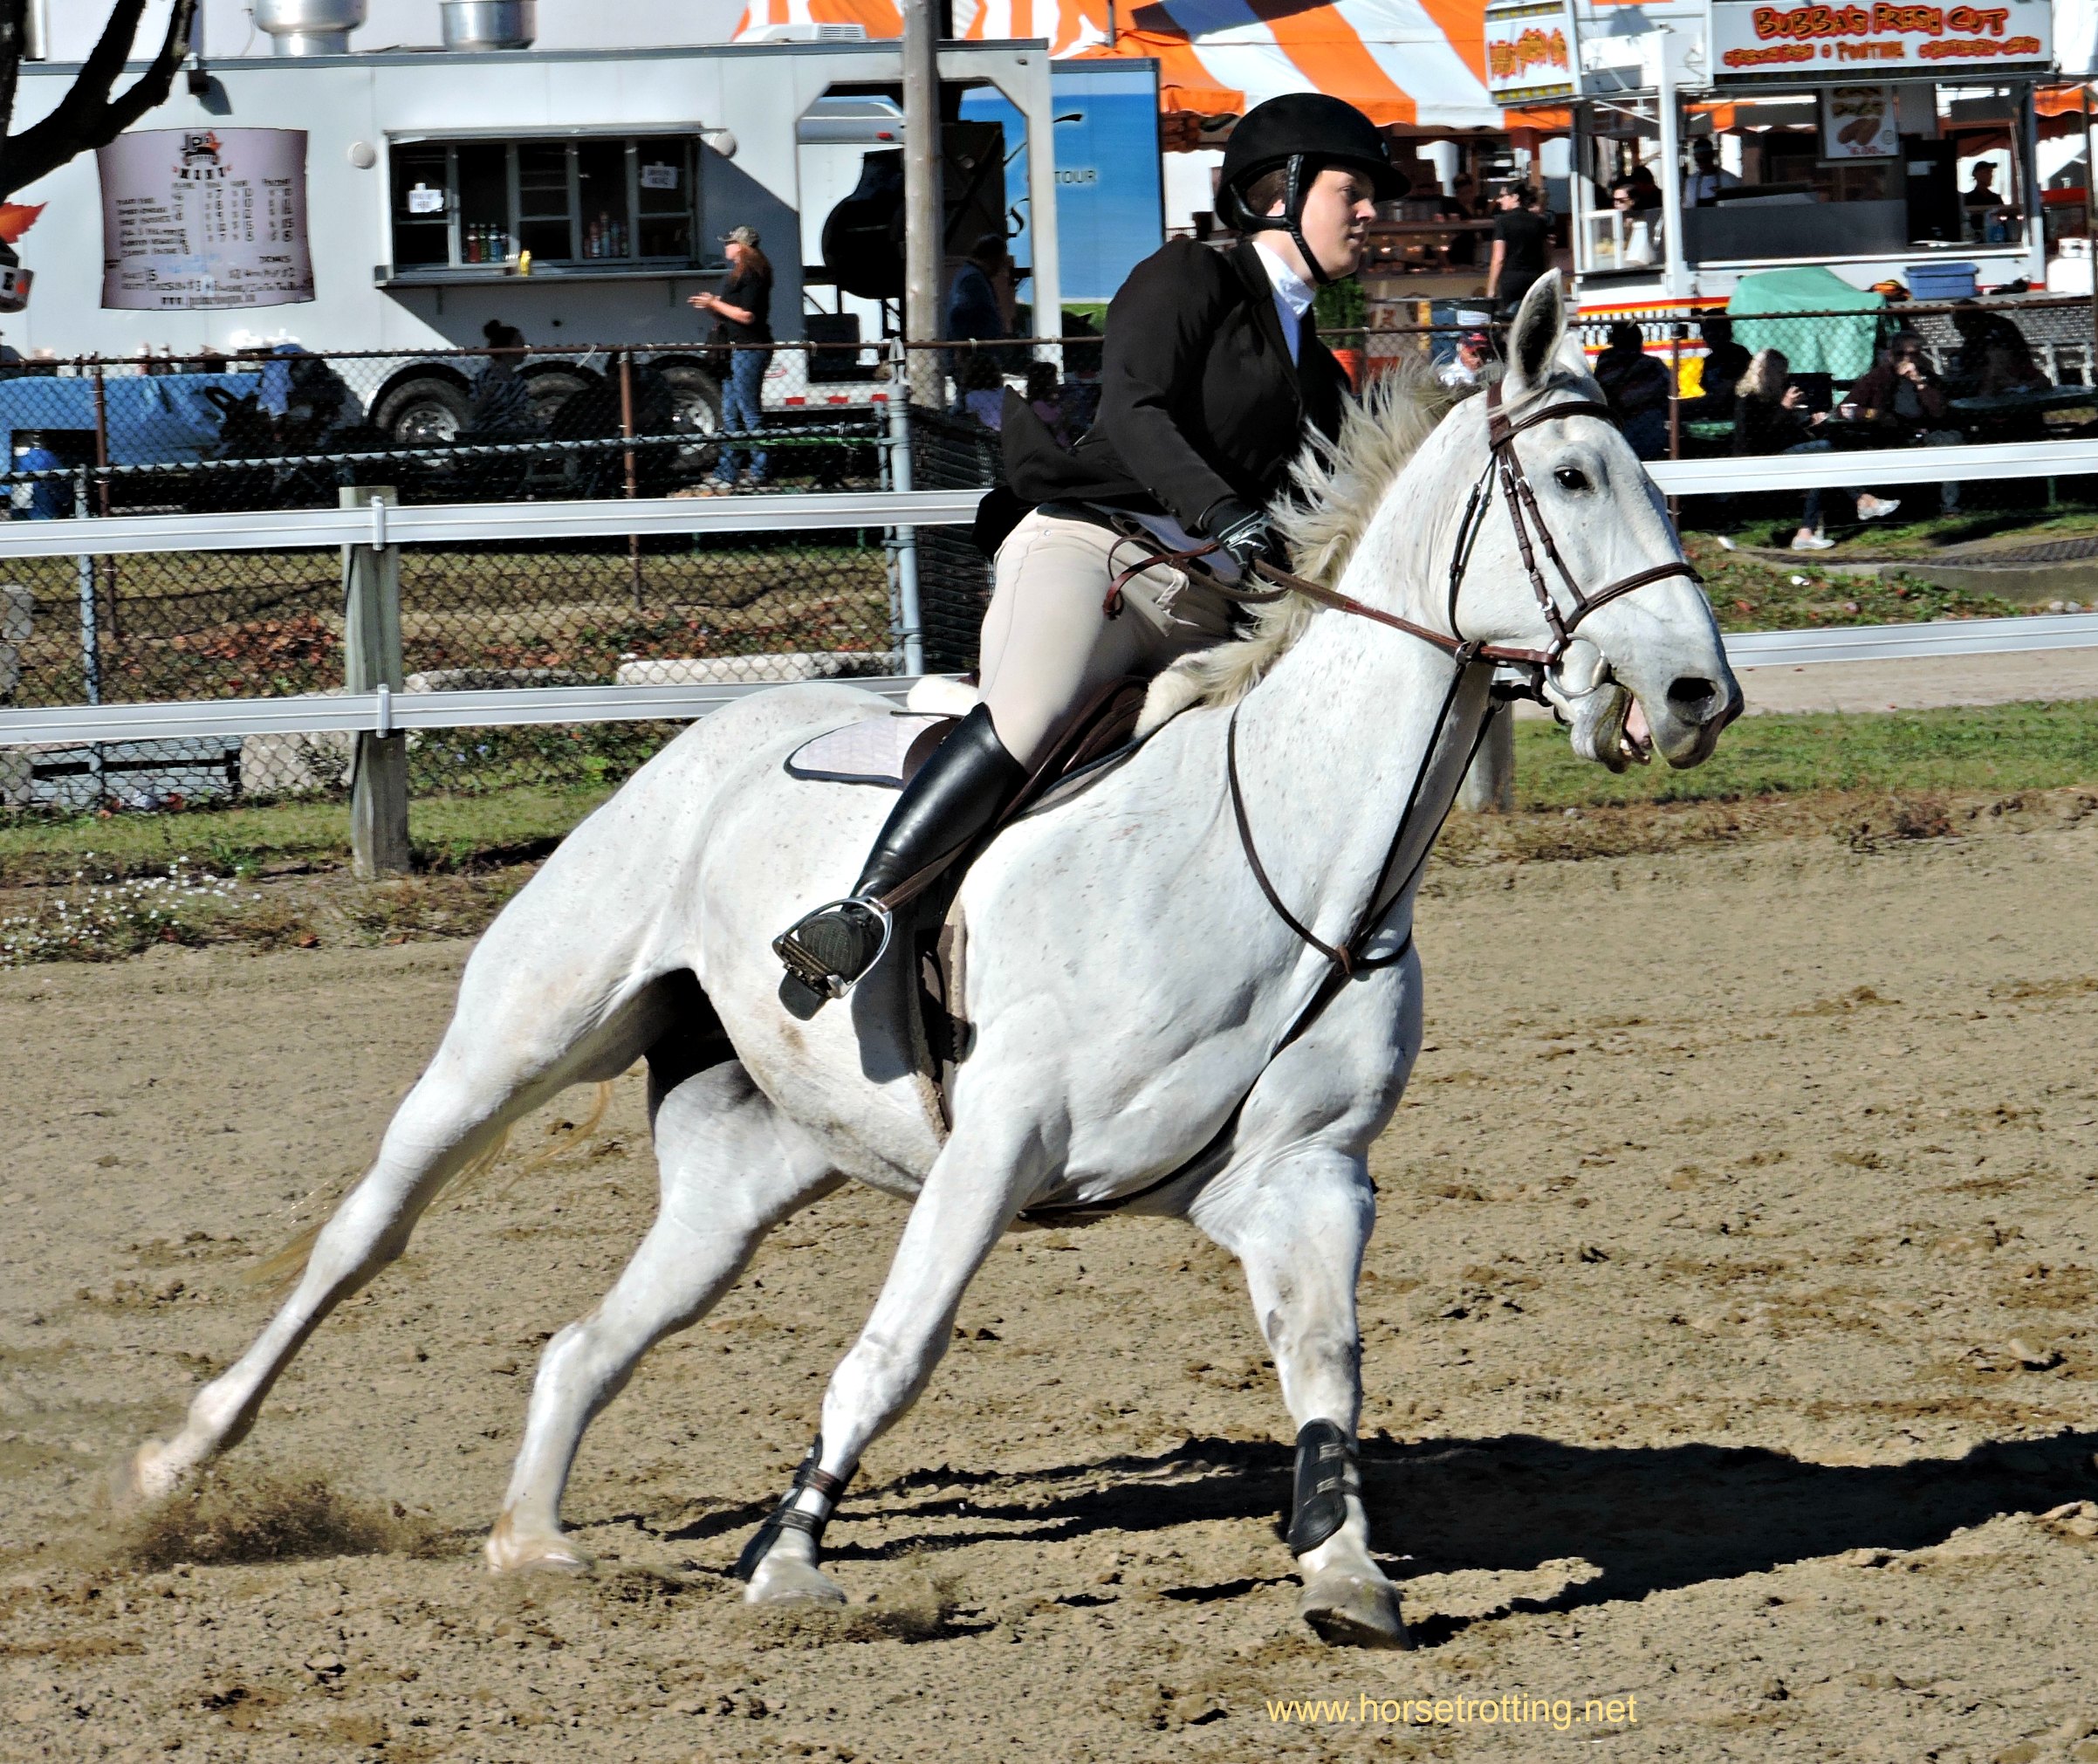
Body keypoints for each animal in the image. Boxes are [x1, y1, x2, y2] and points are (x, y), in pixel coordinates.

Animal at [120, 278, 1741, 1649]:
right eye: (1576, 481)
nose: (1694, 694)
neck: (1285, 856)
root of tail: (704, 734)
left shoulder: (1307, 1177)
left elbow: (1324, 1363)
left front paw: (1342, 1572)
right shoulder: (998, 1145)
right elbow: (892, 1354)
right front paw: (785, 1559)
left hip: (746, 1167)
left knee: (586, 1340)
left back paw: (530, 1540)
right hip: (515, 1045)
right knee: (366, 1236)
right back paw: (177, 1463)